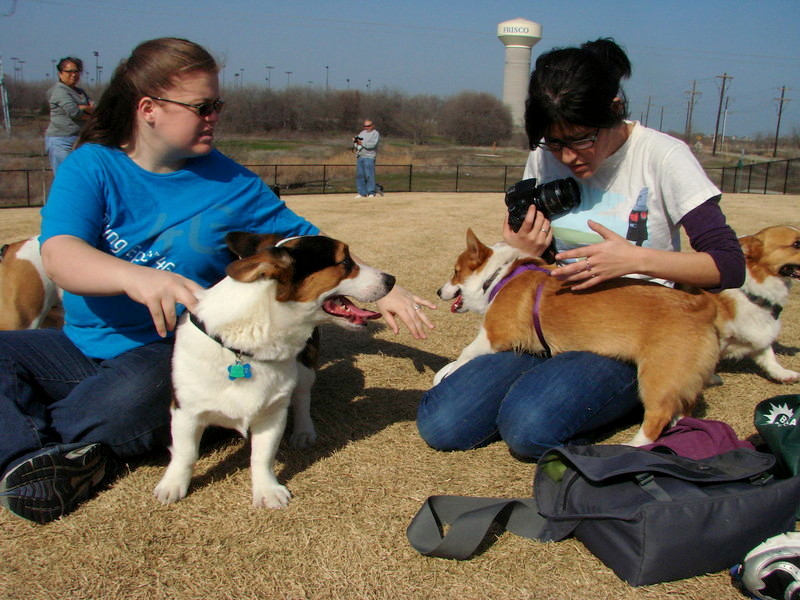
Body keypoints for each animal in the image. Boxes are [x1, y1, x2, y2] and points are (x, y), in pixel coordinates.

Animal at [434, 229, 720, 446]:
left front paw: (447, 371)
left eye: (455, 271)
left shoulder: (493, 335)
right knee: (682, 409)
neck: (497, 276)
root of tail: (702, 307)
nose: (438, 291)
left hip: (655, 376)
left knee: (658, 415)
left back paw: (633, 446)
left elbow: (466, 353)